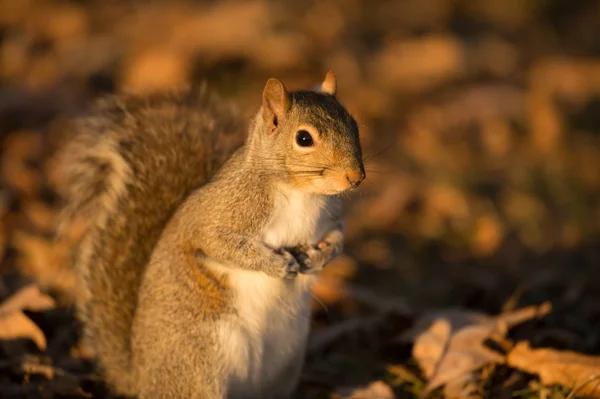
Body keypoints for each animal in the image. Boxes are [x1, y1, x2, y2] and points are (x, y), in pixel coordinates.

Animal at [55, 72, 366, 399]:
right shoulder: (220, 212)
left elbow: (337, 240)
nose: (356, 177)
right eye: (304, 139)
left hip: (284, 368)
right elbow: (216, 243)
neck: (301, 193)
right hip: (198, 365)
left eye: (354, 125)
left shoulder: (330, 220)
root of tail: (142, 380)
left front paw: (319, 257)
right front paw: (276, 264)